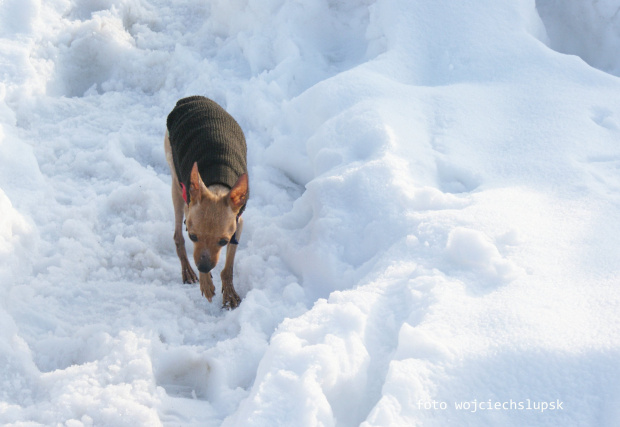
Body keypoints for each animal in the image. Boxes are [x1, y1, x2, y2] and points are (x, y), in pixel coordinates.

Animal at [167, 97, 249, 310]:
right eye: (193, 236)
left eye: (223, 241)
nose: (204, 267)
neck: (217, 187)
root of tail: (190, 98)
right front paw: (206, 283)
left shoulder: (238, 225)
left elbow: (228, 267)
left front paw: (229, 293)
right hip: (177, 185)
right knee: (177, 235)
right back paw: (187, 270)